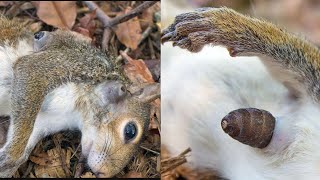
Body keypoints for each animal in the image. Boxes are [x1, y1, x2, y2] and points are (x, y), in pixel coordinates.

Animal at [0, 17, 160, 178]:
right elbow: (29, 70)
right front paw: (11, 154)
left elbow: (24, 147)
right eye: (130, 131)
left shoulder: (44, 122)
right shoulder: (70, 65)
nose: (104, 173)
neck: (78, 110)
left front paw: (7, 163)